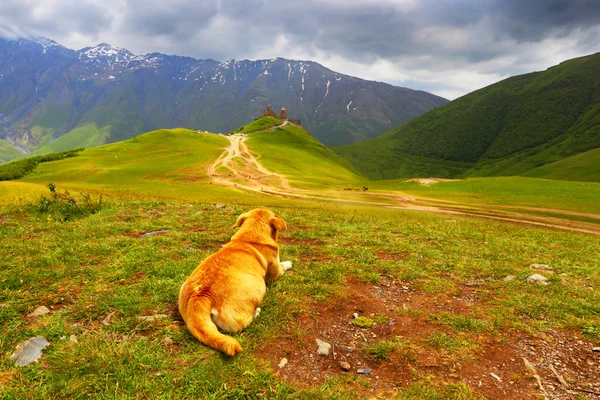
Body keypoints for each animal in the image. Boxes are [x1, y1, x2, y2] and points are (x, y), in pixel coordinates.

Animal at [177, 208, 292, 354]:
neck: (249, 238)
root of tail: (200, 296)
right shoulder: (275, 270)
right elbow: (283, 265)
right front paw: (289, 263)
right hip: (258, 286)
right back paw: (257, 312)